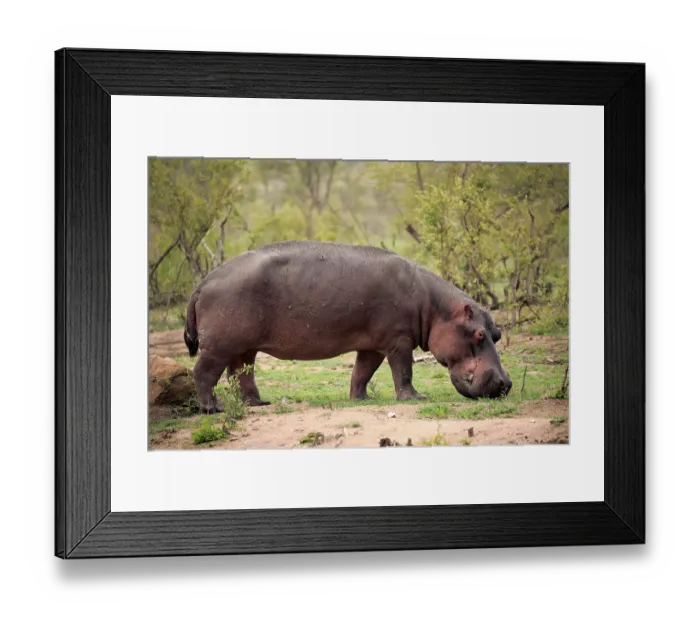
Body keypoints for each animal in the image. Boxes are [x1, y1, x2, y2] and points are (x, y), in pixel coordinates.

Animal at [184, 240, 512, 412]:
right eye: (479, 334)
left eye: (497, 333)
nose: (506, 384)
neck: (434, 307)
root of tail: (203, 283)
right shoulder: (399, 340)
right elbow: (403, 370)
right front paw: (416, 398)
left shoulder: (373, 346)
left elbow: (362, 372)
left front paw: (360, 399)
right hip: (219, 346)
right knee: (203, 373)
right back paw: (213, 409)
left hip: (244, 346)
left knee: (241, 373)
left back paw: (258, 403)